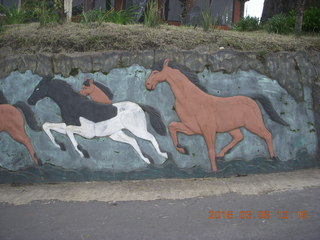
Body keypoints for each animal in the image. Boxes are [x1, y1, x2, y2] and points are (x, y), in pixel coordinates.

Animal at [146, 59, 288, 172]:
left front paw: (214, 170)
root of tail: (252, 98)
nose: (147, 85)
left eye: (156, 72)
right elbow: (172, 126)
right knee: (239, 137)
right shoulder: (192, 128)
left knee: (267, 134)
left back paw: (274, 157)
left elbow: (210, 150)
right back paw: (221, 155)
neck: (191, 99)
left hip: (253, 124)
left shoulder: (207, 130)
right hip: (232, 127)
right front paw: (182, 149)